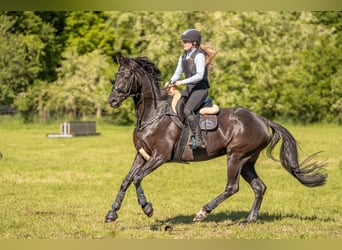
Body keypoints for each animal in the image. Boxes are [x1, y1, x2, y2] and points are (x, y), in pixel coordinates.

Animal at [105, 53, 328, 224]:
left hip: (236, 157)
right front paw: (112, 213)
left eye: (127, 76)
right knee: (259, 187)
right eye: (116, 75)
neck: (154, 113)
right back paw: (249, 219)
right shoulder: (142, 155)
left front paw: (147, 208)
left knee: (232, 187)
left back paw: (203, 212)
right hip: (247, 161)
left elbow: (137, 178)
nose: (112, 101)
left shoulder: (159, 156)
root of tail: (263, 120)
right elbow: (126, 180)